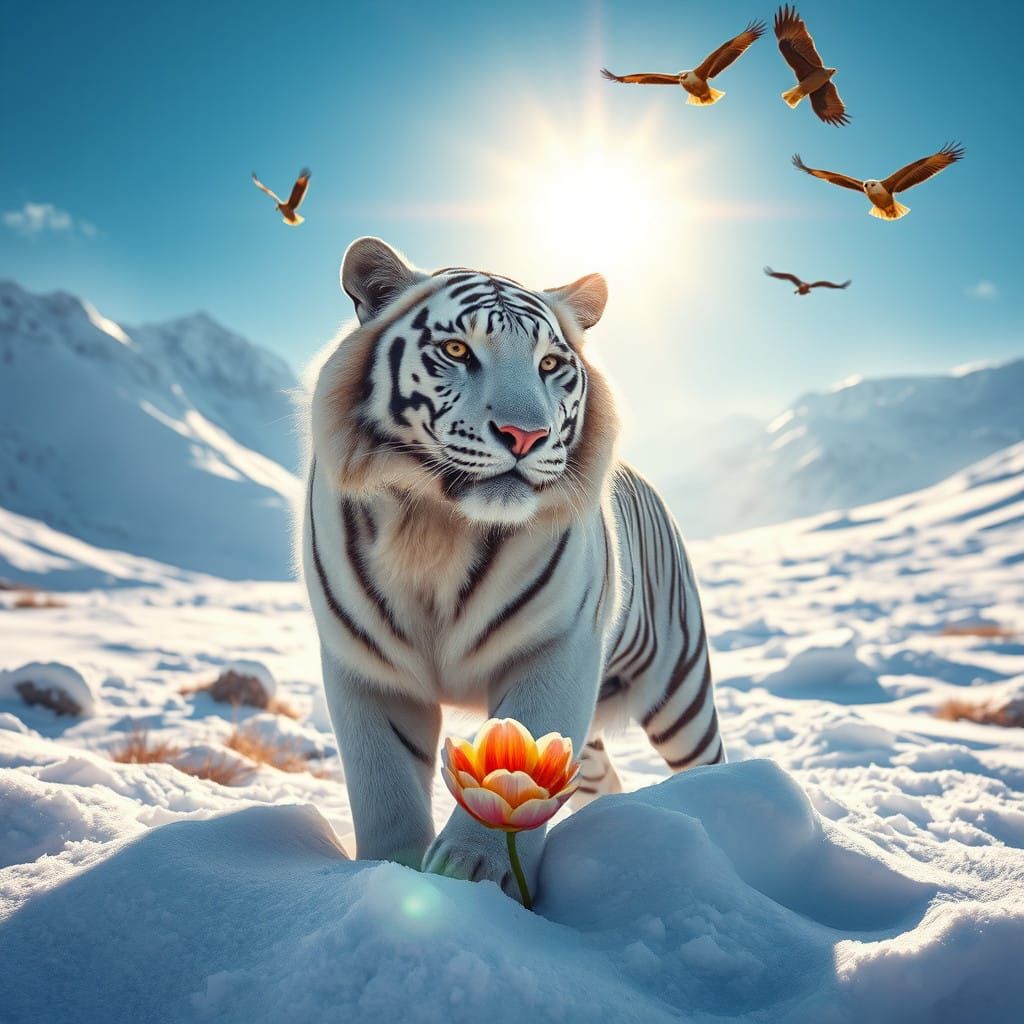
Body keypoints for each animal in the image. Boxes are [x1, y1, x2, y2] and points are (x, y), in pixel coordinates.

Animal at [300, 237, 724, 900]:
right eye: (456, 350)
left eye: (550, 363)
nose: (525, 436)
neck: (435, 527)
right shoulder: (365, 667)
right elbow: (383, 786)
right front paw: (392, 874)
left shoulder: (556, 648)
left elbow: (516, 762)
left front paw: (475, 874)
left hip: (679, 687)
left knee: (709, 763)